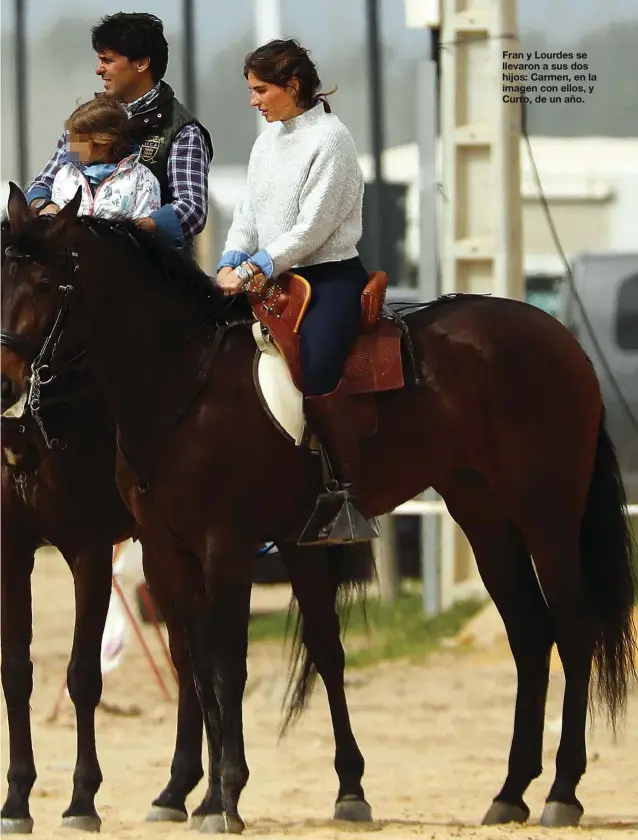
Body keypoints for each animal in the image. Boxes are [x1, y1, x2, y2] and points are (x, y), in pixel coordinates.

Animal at [2, 184, 636, 832]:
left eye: (46, 285)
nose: (5, 386)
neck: (184, 384)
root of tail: (560, 337)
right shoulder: (177, 551)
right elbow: (214, 667)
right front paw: (239, 797)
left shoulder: (219, 549)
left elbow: (226, 668)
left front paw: (224, 798)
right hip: (482, 513)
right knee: (530, 631)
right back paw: (510, 792)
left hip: (546, 512)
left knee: (574, 625)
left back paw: (562, 792)